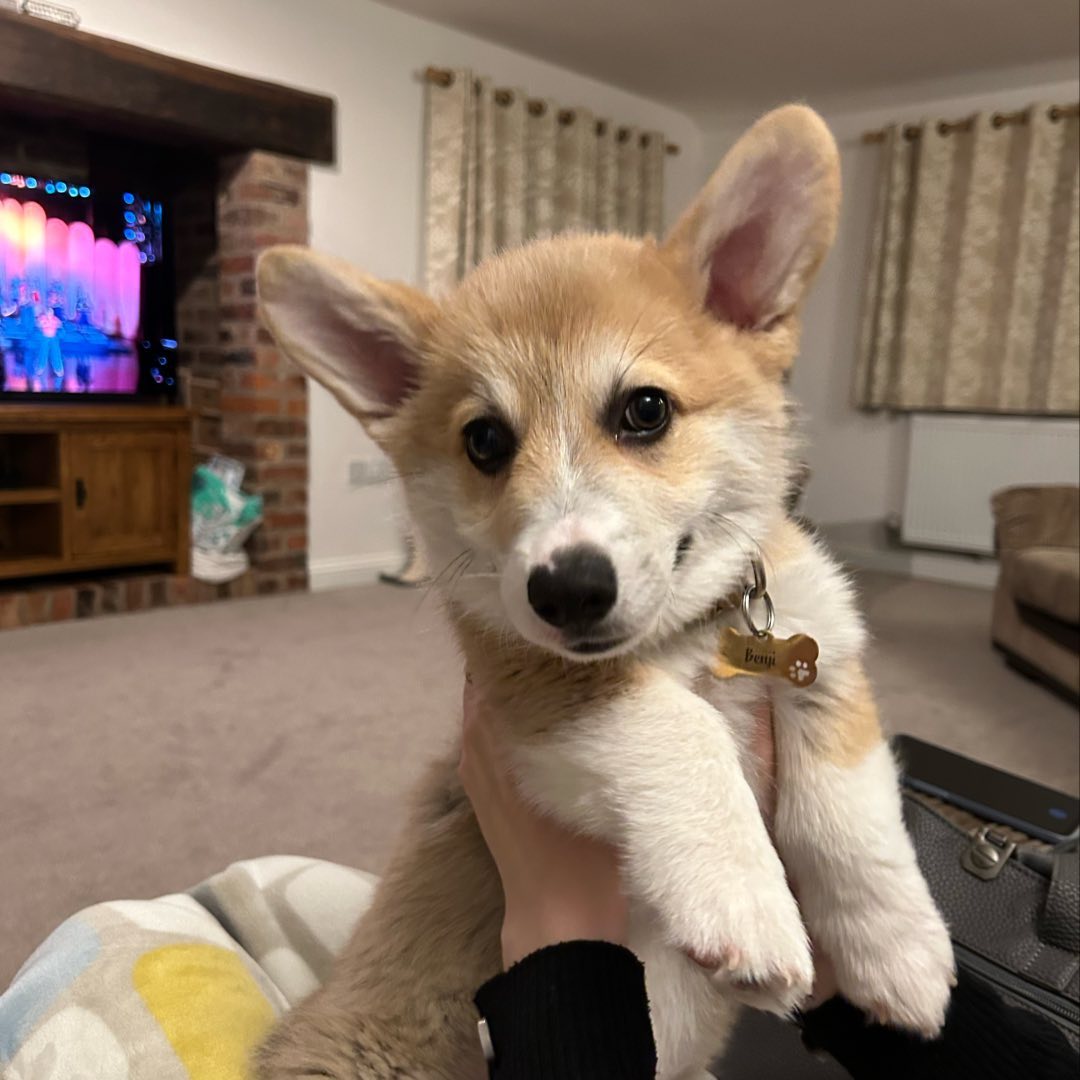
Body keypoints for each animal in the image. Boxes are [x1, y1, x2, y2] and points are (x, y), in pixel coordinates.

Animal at [252, 103, 954, 1080]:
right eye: (484, 441)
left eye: (645, 410)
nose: (568, 591)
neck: (689, 638)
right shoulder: (533, 695)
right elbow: (678, 727)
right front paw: (744, 899)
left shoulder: (825, 666)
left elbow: (852, 815)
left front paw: (899, 956)